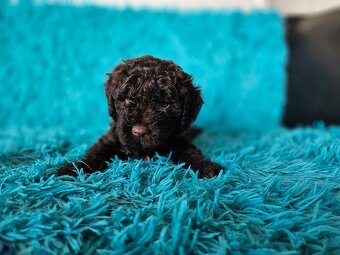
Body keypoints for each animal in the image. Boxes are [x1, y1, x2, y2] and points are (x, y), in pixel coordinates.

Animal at [58, 55, 223, 177]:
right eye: (128, 100)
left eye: (165, 104)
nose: (139, 131)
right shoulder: (111, 138)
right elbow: (96, 152)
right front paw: (75, 168)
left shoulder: (178, 140)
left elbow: (190, 152)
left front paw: (205, 166)